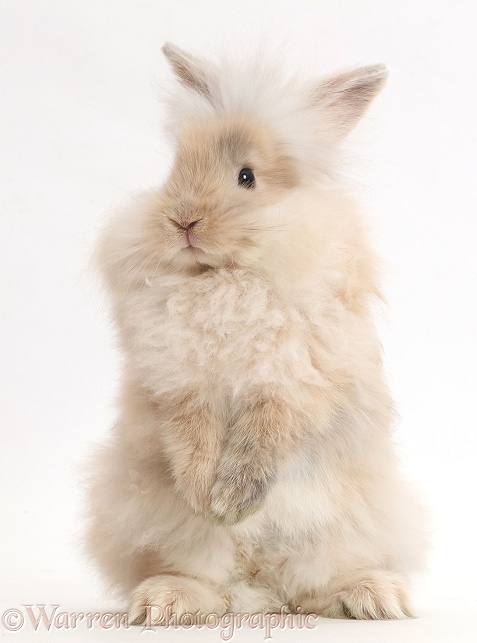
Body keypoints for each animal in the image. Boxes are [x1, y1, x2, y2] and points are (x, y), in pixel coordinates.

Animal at [84, 44, 428, 624]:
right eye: (176, 168)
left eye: (247, 177)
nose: (182, 221)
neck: (226, 275)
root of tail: (258, 592)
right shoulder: (179, 386)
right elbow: (191, 438)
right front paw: (204, 495)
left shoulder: (295, 380)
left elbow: (265, 435)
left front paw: (231, 498)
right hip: (153, 521)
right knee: (205, 580)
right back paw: (165, 601)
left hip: (346, 524)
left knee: (312, 587)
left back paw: (373, 595)